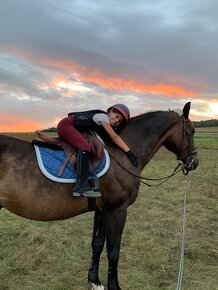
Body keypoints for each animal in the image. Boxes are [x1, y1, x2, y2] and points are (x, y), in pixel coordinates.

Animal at [0, 102, 198, 290]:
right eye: (191, 131)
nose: (194, 162)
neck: (120, 153)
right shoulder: (117, 210)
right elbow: (113, 251)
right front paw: (114, 286)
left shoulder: (102, 210)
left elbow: (97, 244)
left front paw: (94, 281)